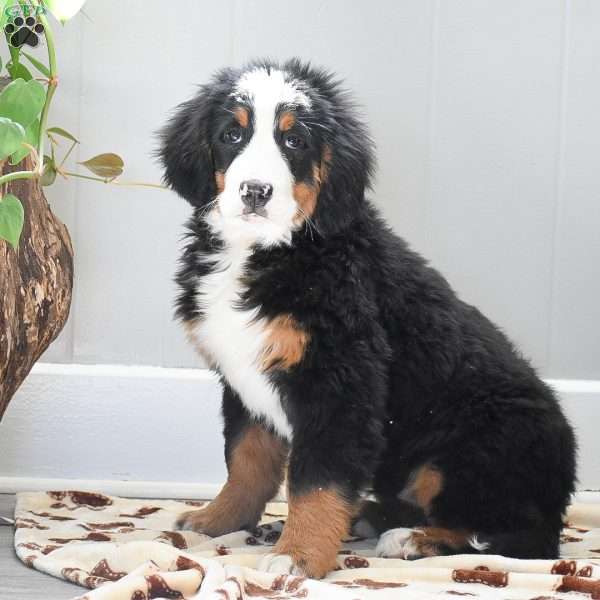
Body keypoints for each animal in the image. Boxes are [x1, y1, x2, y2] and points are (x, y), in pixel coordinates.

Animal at [159, 58, 576, 580]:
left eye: (294, 141)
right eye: (231, 135)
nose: (255, 192)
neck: (267, 251)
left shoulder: (340, 384)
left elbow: (316, 483)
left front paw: (297, 557)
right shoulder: (241, 378)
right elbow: (246, 461)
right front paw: (216, 520)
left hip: (475, 447)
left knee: (521, 539)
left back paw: (413, 539)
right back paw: (367, 517)